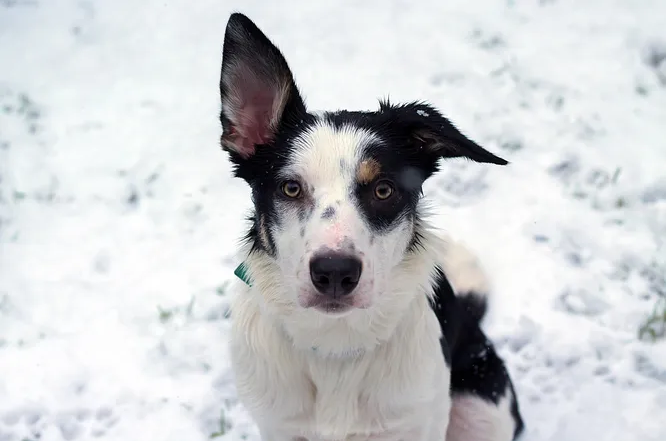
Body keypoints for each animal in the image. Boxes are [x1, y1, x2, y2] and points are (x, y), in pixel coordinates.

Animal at [219, 12, 524, 441]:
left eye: (383, 189)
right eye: (290, 188)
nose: (334, 273)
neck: (335, 348)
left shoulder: (419, 421)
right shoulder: (278, 424)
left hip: (483, 412)